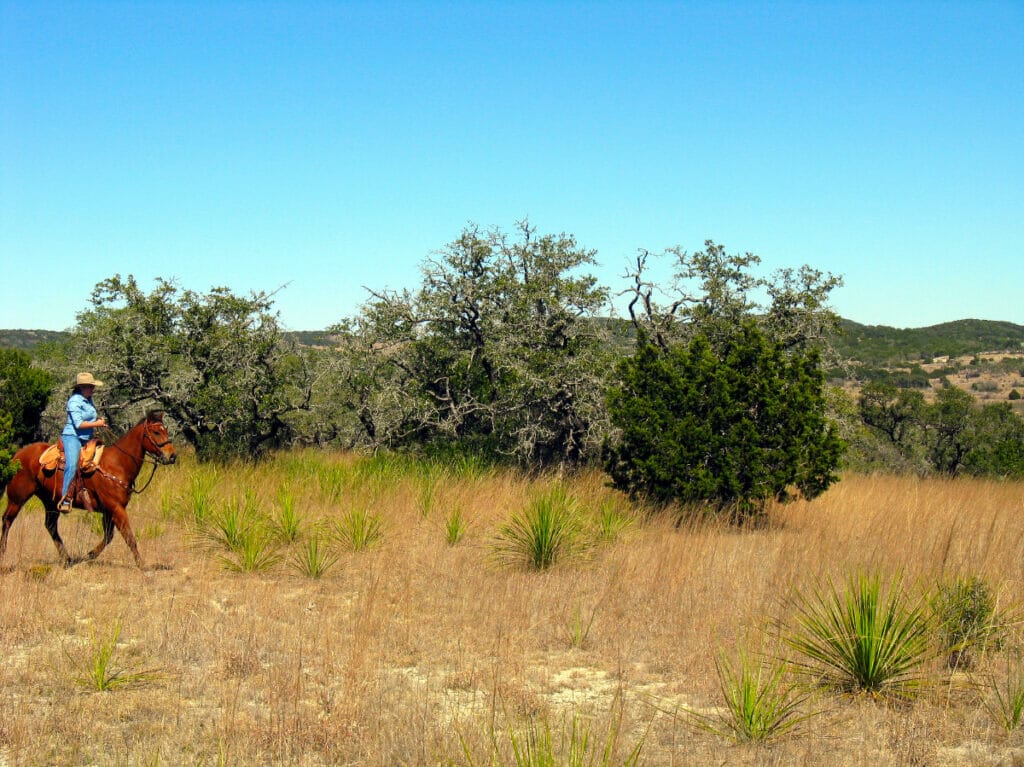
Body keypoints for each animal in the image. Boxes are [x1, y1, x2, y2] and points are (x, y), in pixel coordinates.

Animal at [0, 413, 177, 569]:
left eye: (166, 430)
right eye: (156, 432)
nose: (172, 456)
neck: (118, 464)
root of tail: (17, 455)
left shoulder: (109, 511)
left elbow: (109, 537)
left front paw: (89, 555)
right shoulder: (116, 508)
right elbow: (129, 537)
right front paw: (142, 565)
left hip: (50, 501)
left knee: (50, 526)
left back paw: (68, 559)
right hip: (17, 498)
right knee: (7, 520)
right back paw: (3, 554)